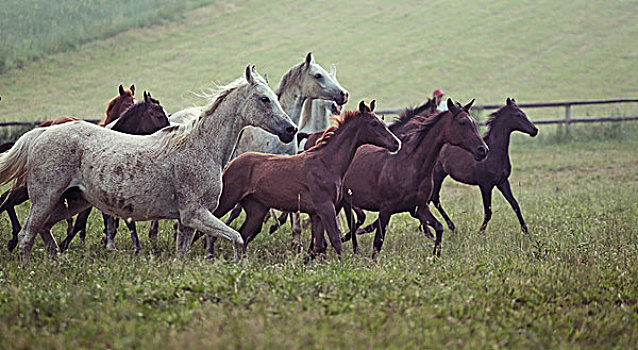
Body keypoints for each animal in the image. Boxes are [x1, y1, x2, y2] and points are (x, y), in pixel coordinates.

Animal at [205, 100, 402, 258]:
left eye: (383, 121)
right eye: (374, 123)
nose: (396, 143)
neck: (326, 163)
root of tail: (230, 164)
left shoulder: (317, 214)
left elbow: (318, 246)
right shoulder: (326, 208)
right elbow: (335, 241)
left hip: (256, 210)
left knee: (243, 235)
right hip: (227, 200)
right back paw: (209, 255)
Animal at [340, 100, 490, 258]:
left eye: (473, 123)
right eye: (462, 123)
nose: (483, 150)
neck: (411, 165)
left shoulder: (420, 208)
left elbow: (439, 228)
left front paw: (435, 257)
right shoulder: (386, 209)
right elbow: (378, 242)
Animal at [430, 97, 540, 234]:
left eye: (523, 113)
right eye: (518, 115)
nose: (535, 130)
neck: (494, 153)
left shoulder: (502, 182)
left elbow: (515, 205)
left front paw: (526, 231)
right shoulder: (485, 185)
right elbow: (488, 212)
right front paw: (480, 232)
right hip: (437, 174)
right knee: (434, 197)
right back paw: (450, 227)